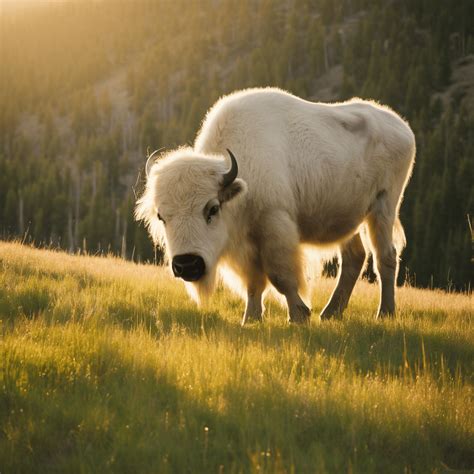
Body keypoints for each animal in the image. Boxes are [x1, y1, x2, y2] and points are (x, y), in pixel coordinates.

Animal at [136, 87, 414, 324]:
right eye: (161, 216)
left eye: (212, 208)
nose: (187, 265)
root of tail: (403, 128)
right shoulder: (247, 245)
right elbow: (253, 282)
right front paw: (250, 319)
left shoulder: (274, 227)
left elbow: (280, 275)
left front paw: (299, 315)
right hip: (348, 218)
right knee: (354, 257)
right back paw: (330, 313)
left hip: (383, 206)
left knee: (385, 256)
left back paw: (385, 313)